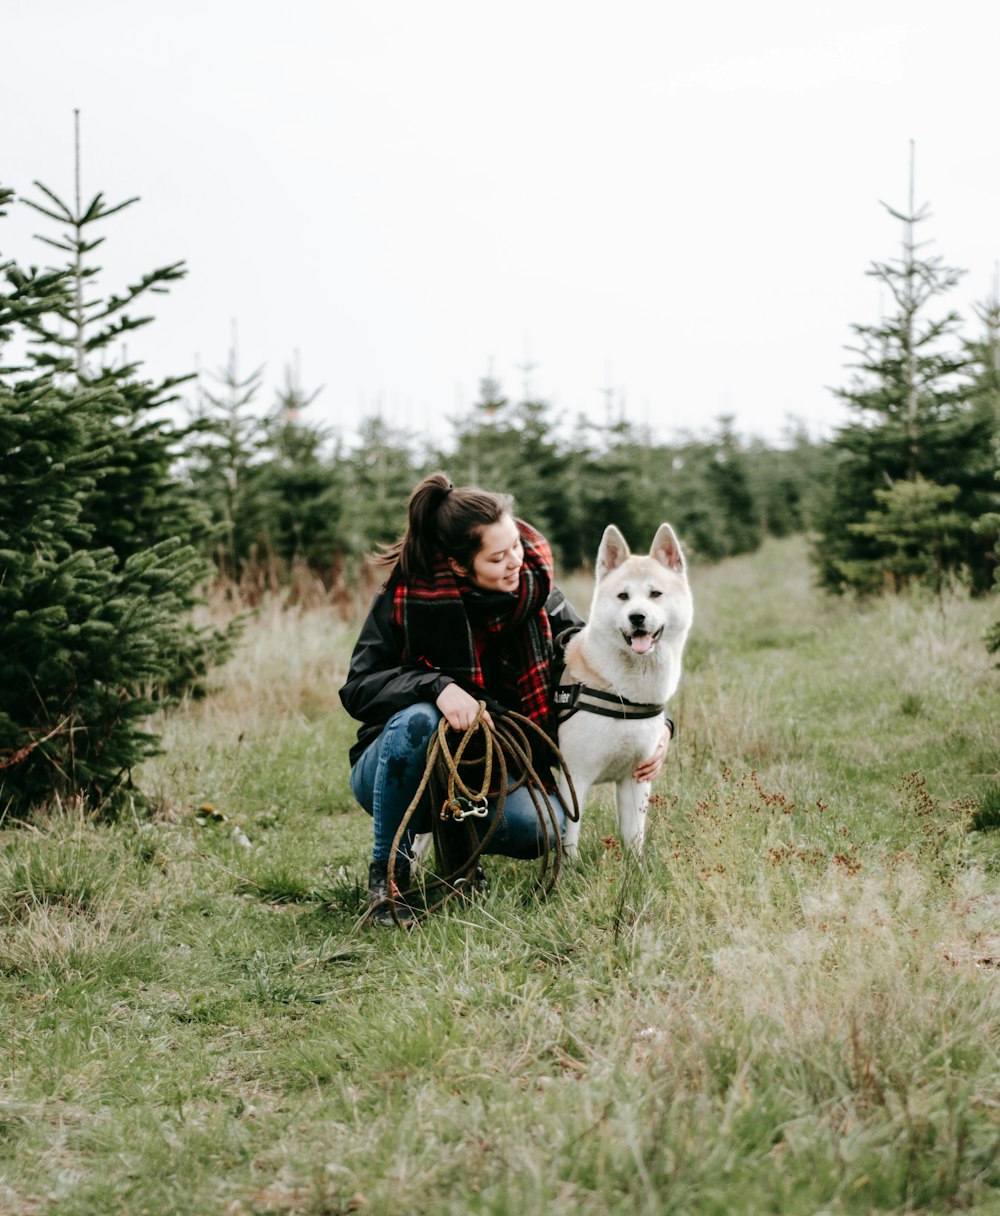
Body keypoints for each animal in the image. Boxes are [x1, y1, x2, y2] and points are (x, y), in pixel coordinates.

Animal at [557, 522, 690, 856]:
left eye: (655, 594)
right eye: (623, 596)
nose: (637, 616)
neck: (622, 691)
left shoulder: (635, 780)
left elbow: (634, 837)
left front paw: (636, 867)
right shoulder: (574, 778)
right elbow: (569, 839)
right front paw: (570, 869)